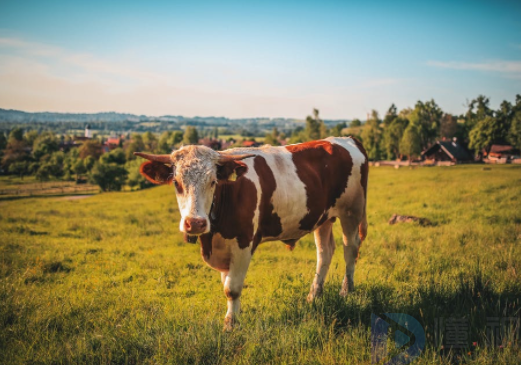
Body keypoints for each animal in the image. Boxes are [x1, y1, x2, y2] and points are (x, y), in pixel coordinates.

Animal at [136, 137, 368, 330]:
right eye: (176, 183)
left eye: (213, 182)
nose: (195, 223)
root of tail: (345, 139)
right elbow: (226, 283)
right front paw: (234, 316)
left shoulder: (243, 243)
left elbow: (232, 288)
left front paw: (231, 325)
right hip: (323, 217)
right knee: (324, 252)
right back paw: (314, 295)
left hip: (352, 210)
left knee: (350, 248)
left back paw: (346, 291)